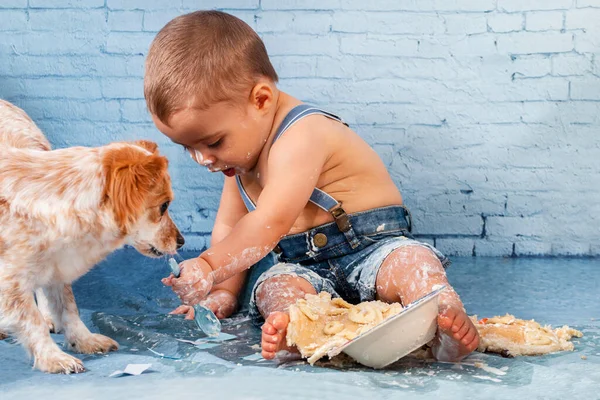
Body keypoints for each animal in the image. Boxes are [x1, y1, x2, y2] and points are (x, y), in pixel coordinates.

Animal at [0, 99, 185, 372]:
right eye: (164, 206)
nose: (181, 242)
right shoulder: (11, 281)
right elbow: (31, 322)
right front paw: (54, 358)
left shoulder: (58, 261)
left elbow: (68, 307)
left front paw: (84, 340)